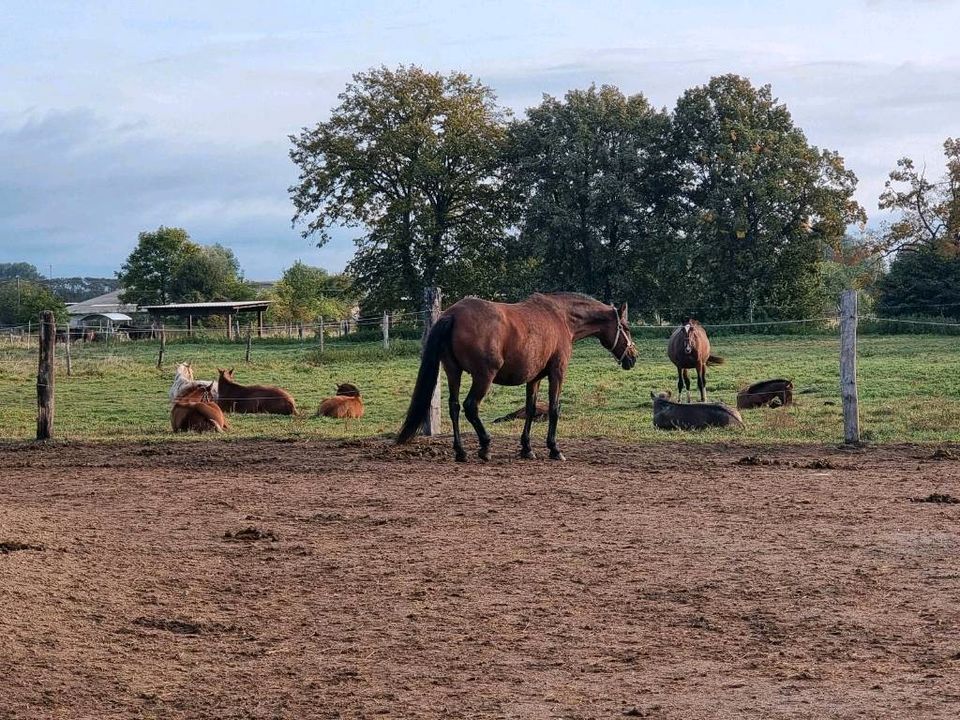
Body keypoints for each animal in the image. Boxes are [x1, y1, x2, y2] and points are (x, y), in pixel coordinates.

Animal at [396, 292, 636, 462]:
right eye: (625, 327)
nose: (633, 357)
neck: (561, 318)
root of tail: (452, 314)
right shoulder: (557, 373)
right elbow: (554, 408)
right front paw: (554, 449)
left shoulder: (534, 378)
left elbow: (530, 409)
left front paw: (527, 448)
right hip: (483, 376)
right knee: (470, 406)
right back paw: (485, 446)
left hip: (453, 371)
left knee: (454, 407)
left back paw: (461, 451)